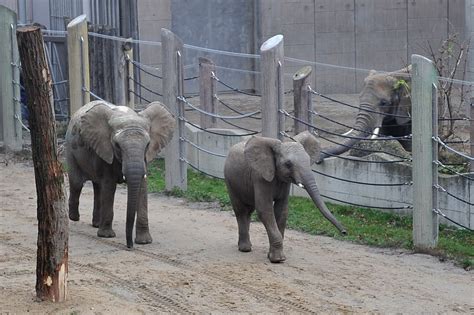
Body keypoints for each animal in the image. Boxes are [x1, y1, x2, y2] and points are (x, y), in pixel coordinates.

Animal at [65, 101, 175, 249]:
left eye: (147, 145)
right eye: (117, 145)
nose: (129, 246)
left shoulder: (144, 158)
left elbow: (142, 188)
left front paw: (144, 242)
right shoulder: (106, 148)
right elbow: (109, 186)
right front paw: (106, 236)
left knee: (97, 186)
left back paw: (96, 224)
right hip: (70, 148)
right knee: (77, 183)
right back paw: (74, 217)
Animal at [224, 131, 346, 264]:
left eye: (308, 160)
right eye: (288, 164)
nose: (344, 232)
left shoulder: (284, 182)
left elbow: (282, 211)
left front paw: (272, 255)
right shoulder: (260, 177)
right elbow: (265, 210)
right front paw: (278, 259)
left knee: (248, 211)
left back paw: (247, 246)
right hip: (230, 180)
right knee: (240, 210)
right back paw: (245, 249)